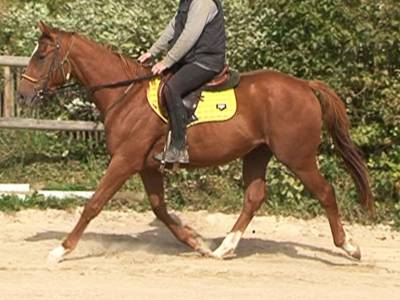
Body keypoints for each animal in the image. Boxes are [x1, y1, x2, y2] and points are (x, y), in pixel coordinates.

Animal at [18, 22, 372, 264]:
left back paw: (350, 247)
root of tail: (304, 85)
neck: (126, 95)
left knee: (325, 192)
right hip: (258, 153)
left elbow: (93, 203)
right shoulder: (147, 166)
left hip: (297, 157)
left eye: (43, 56)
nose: (23, 95)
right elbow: (160, 209)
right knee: (254, 197)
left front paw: (60, 249)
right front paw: (196, 242)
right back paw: (224, 248)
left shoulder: (125, 160)